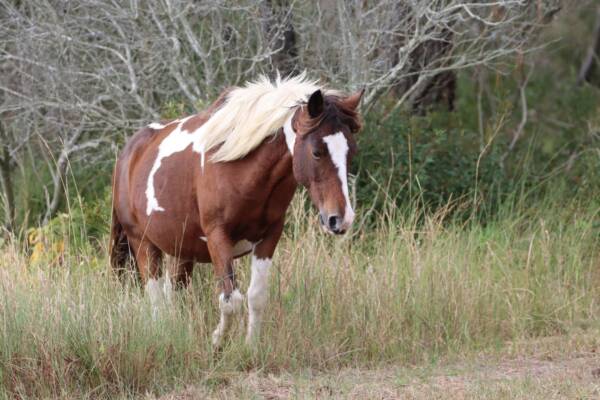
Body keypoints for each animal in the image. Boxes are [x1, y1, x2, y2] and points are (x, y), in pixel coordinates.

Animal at [110, 76, 364, 346]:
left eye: (351, 151)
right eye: (317, 152)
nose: (341, 219)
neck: (240, 170)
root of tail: (129, 153)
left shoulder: (269, 237)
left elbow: (256, 297)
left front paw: (250, 346)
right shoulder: (218, 237)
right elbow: (231, 301)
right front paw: (217, 342)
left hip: (181, 250)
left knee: (173, 293)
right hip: (143, 243)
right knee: (156, 296)